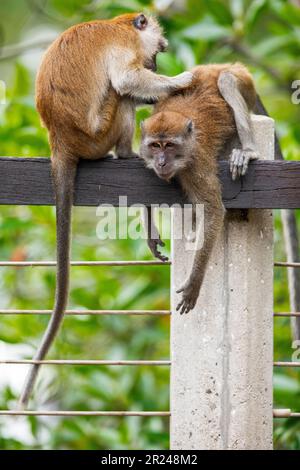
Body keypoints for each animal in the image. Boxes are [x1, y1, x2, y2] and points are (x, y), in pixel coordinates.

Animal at [139, 61, 258, 312]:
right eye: (155, 146)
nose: (161, 162)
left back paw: (249, 151)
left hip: (246, 83)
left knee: (227, 81)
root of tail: (211, 66)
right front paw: (151, 234)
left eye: (169, 146)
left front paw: (195, 281)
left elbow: (213, 210)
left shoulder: (196, 166)